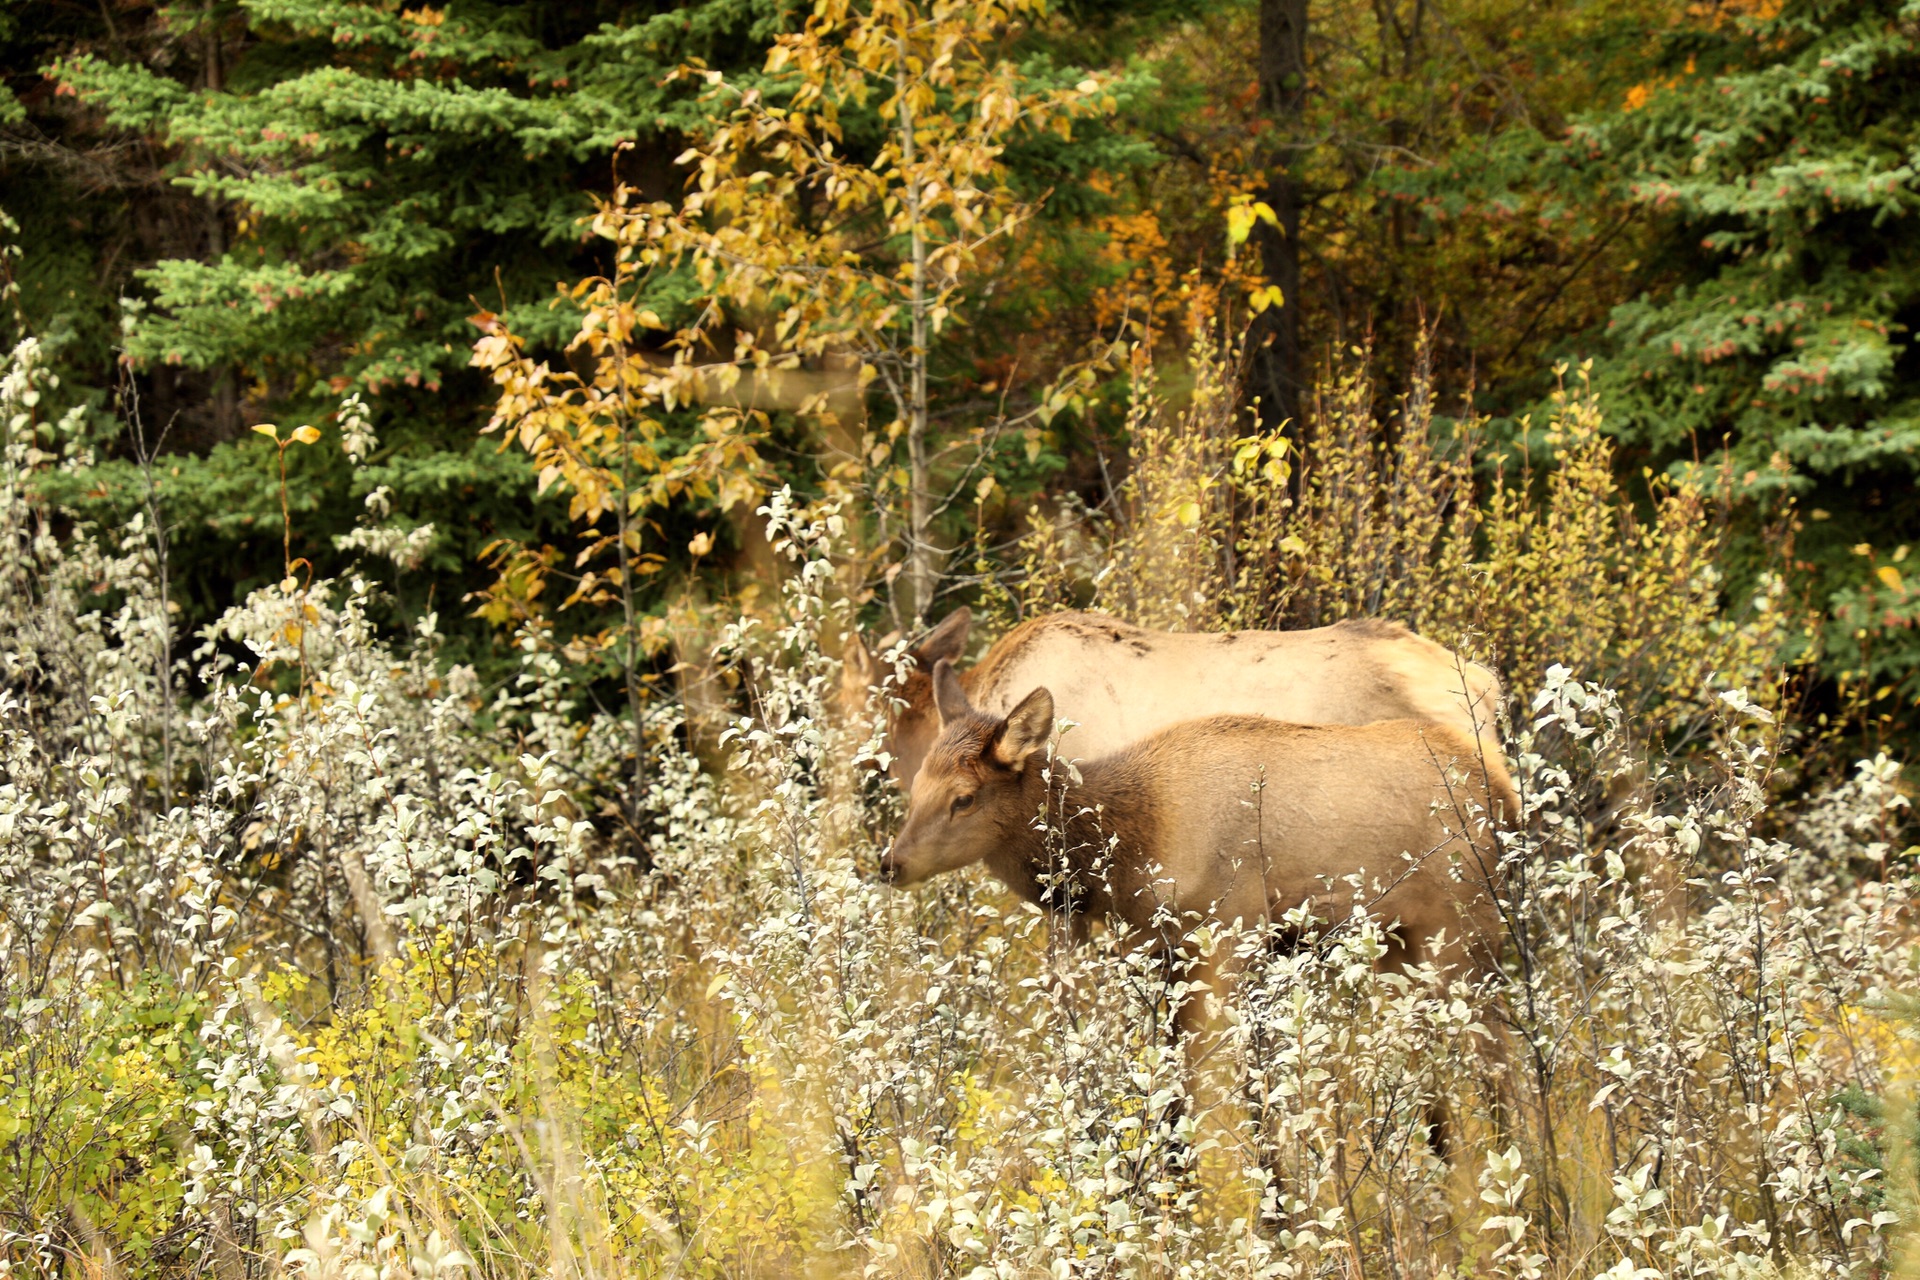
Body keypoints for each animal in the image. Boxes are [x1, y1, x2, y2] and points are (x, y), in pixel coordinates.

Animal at [879, 660, 1512, 1028]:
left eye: (963, 798)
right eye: (916, 784)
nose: (890, 862)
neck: (1131, 852)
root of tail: (1500, 789)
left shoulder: (1233, 936)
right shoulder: (1165, 954)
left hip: (1464, 935)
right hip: (1403, 946)